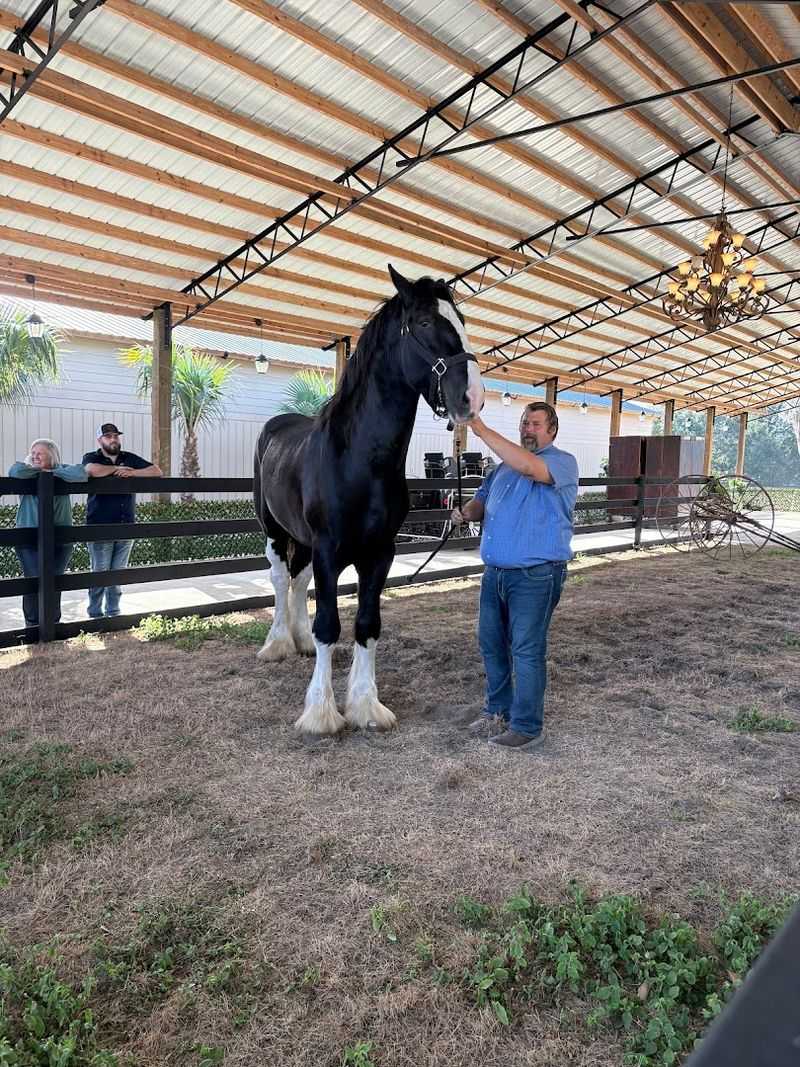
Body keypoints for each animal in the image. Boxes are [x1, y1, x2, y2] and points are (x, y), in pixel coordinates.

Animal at [253, 264, 485, 736]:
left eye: (462, 321)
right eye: (426, 322)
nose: (473, 397)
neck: (358, 460)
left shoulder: (379, 553)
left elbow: (367, 624)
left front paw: (365, 706)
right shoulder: (328, 550)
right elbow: (329, 625)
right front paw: (321, 713)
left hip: (304, 542)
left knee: (298, 582)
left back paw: (299, 642)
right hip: (274, 532)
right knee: (282, 580)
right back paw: (278, 644)